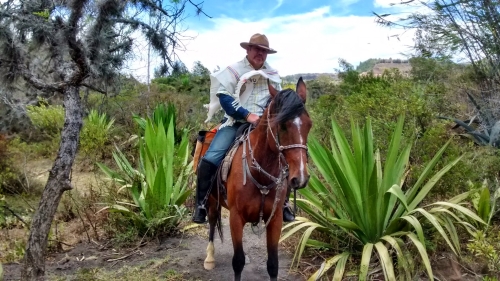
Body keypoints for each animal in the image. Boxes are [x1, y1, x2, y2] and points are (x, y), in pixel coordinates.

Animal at [201, 77, 310, 280]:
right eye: (282, 125)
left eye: (309, 124)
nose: (300, 178)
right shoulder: (236, 219)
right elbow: (238, 261)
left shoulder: (275, 219)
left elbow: (273, 264)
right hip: (211, 200)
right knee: (211, 221)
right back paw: (209, 258)